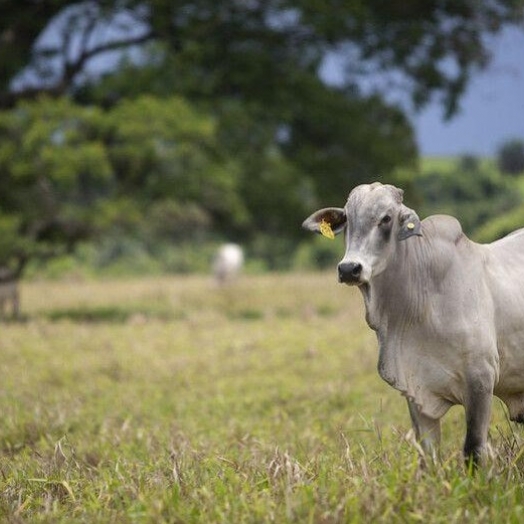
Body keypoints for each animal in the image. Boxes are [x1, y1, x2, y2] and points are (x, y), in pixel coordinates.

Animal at [300, 182, 524, 464]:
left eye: (386, 218)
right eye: (348, 219)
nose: (349, 268)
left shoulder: (481, 380)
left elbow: (473, 449)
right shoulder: (415, 389)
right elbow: (427, 454)